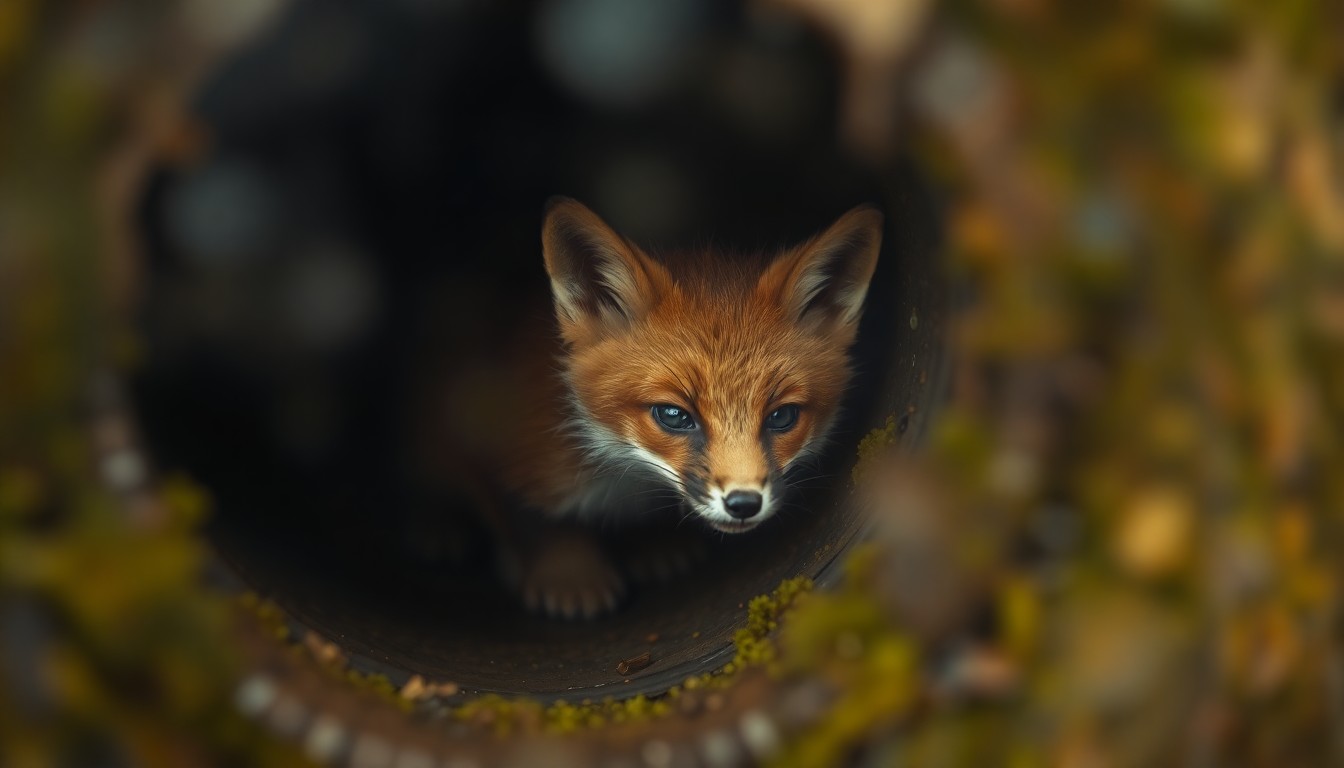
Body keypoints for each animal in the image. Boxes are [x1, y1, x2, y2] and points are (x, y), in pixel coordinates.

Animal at [428, 198, 882, 619]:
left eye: (781, 417)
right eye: (674, 415)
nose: (743, 503)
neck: (618, 477)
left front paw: (650, 544)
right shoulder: (488, 432)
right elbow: (532, 520)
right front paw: (567, 572)